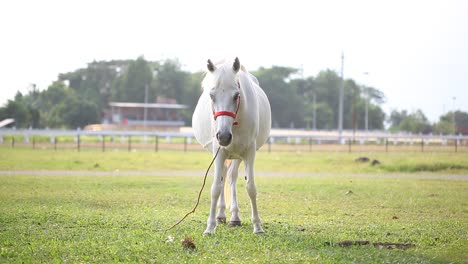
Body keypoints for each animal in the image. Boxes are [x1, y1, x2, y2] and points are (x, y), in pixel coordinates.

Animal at [192, 58, 272, 235]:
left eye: (236, 95)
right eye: (211, 95)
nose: (223, 136)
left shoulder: (249, 152)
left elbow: (251, 187)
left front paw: (258, 226)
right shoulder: (219, 152)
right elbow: (215, 188)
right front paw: (209, 227)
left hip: (237, 155)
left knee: (231, 176)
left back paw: (234, 217)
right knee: (222, 176)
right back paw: (221, 215)